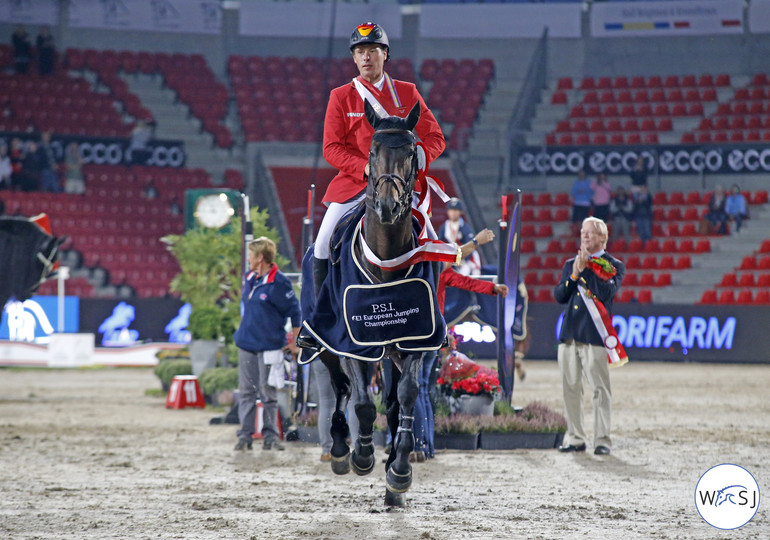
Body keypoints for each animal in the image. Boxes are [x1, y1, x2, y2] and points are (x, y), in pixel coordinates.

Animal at [298, 100, 448, 506]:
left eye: (411, 152)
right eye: (370, 152)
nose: (387, 206)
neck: (385, 263)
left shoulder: (416, 341)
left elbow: (408, 397)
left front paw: (399, 472)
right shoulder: (350, 341)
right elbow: (363, 403)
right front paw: (361, 456)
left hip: (391, 352)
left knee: (393, 401)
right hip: (326, 342)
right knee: (341, 389)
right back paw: (340, 448)